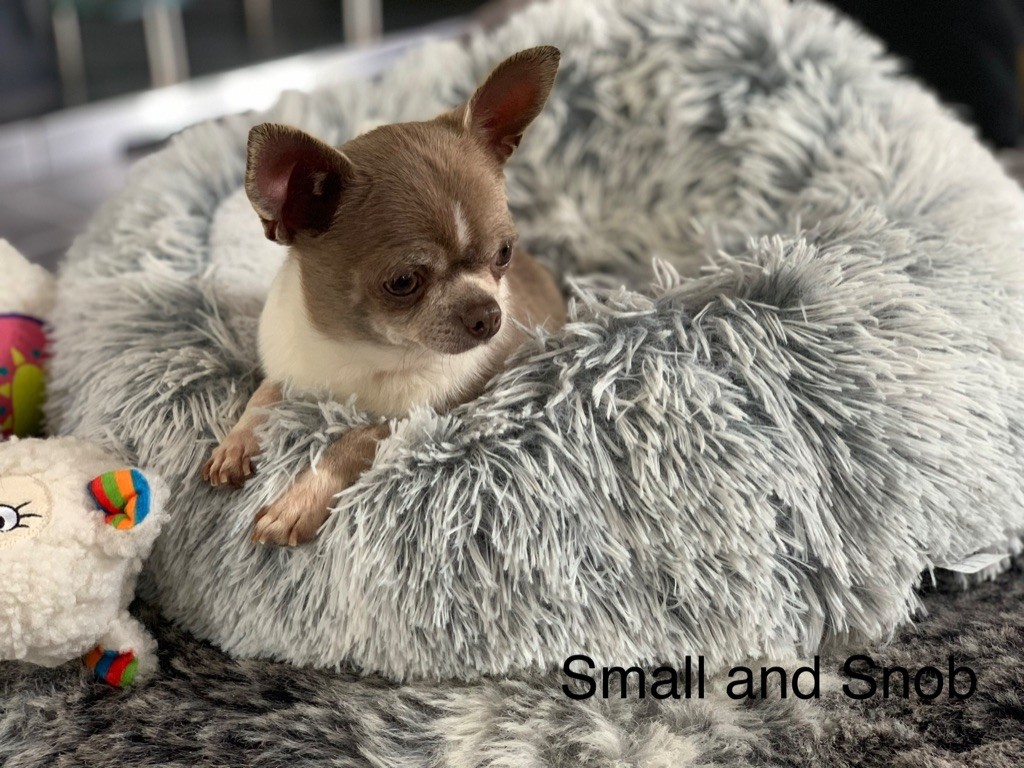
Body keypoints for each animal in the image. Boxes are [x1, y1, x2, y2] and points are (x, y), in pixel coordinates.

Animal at [201, 46, 566, 546]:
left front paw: (297, 503)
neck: (358, 347)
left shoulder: (408, 421)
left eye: (504, 254)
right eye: (403, 282)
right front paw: (235, 442)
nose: (489, 314)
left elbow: (348, 443)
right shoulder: (288, 369)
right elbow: (262, 396)